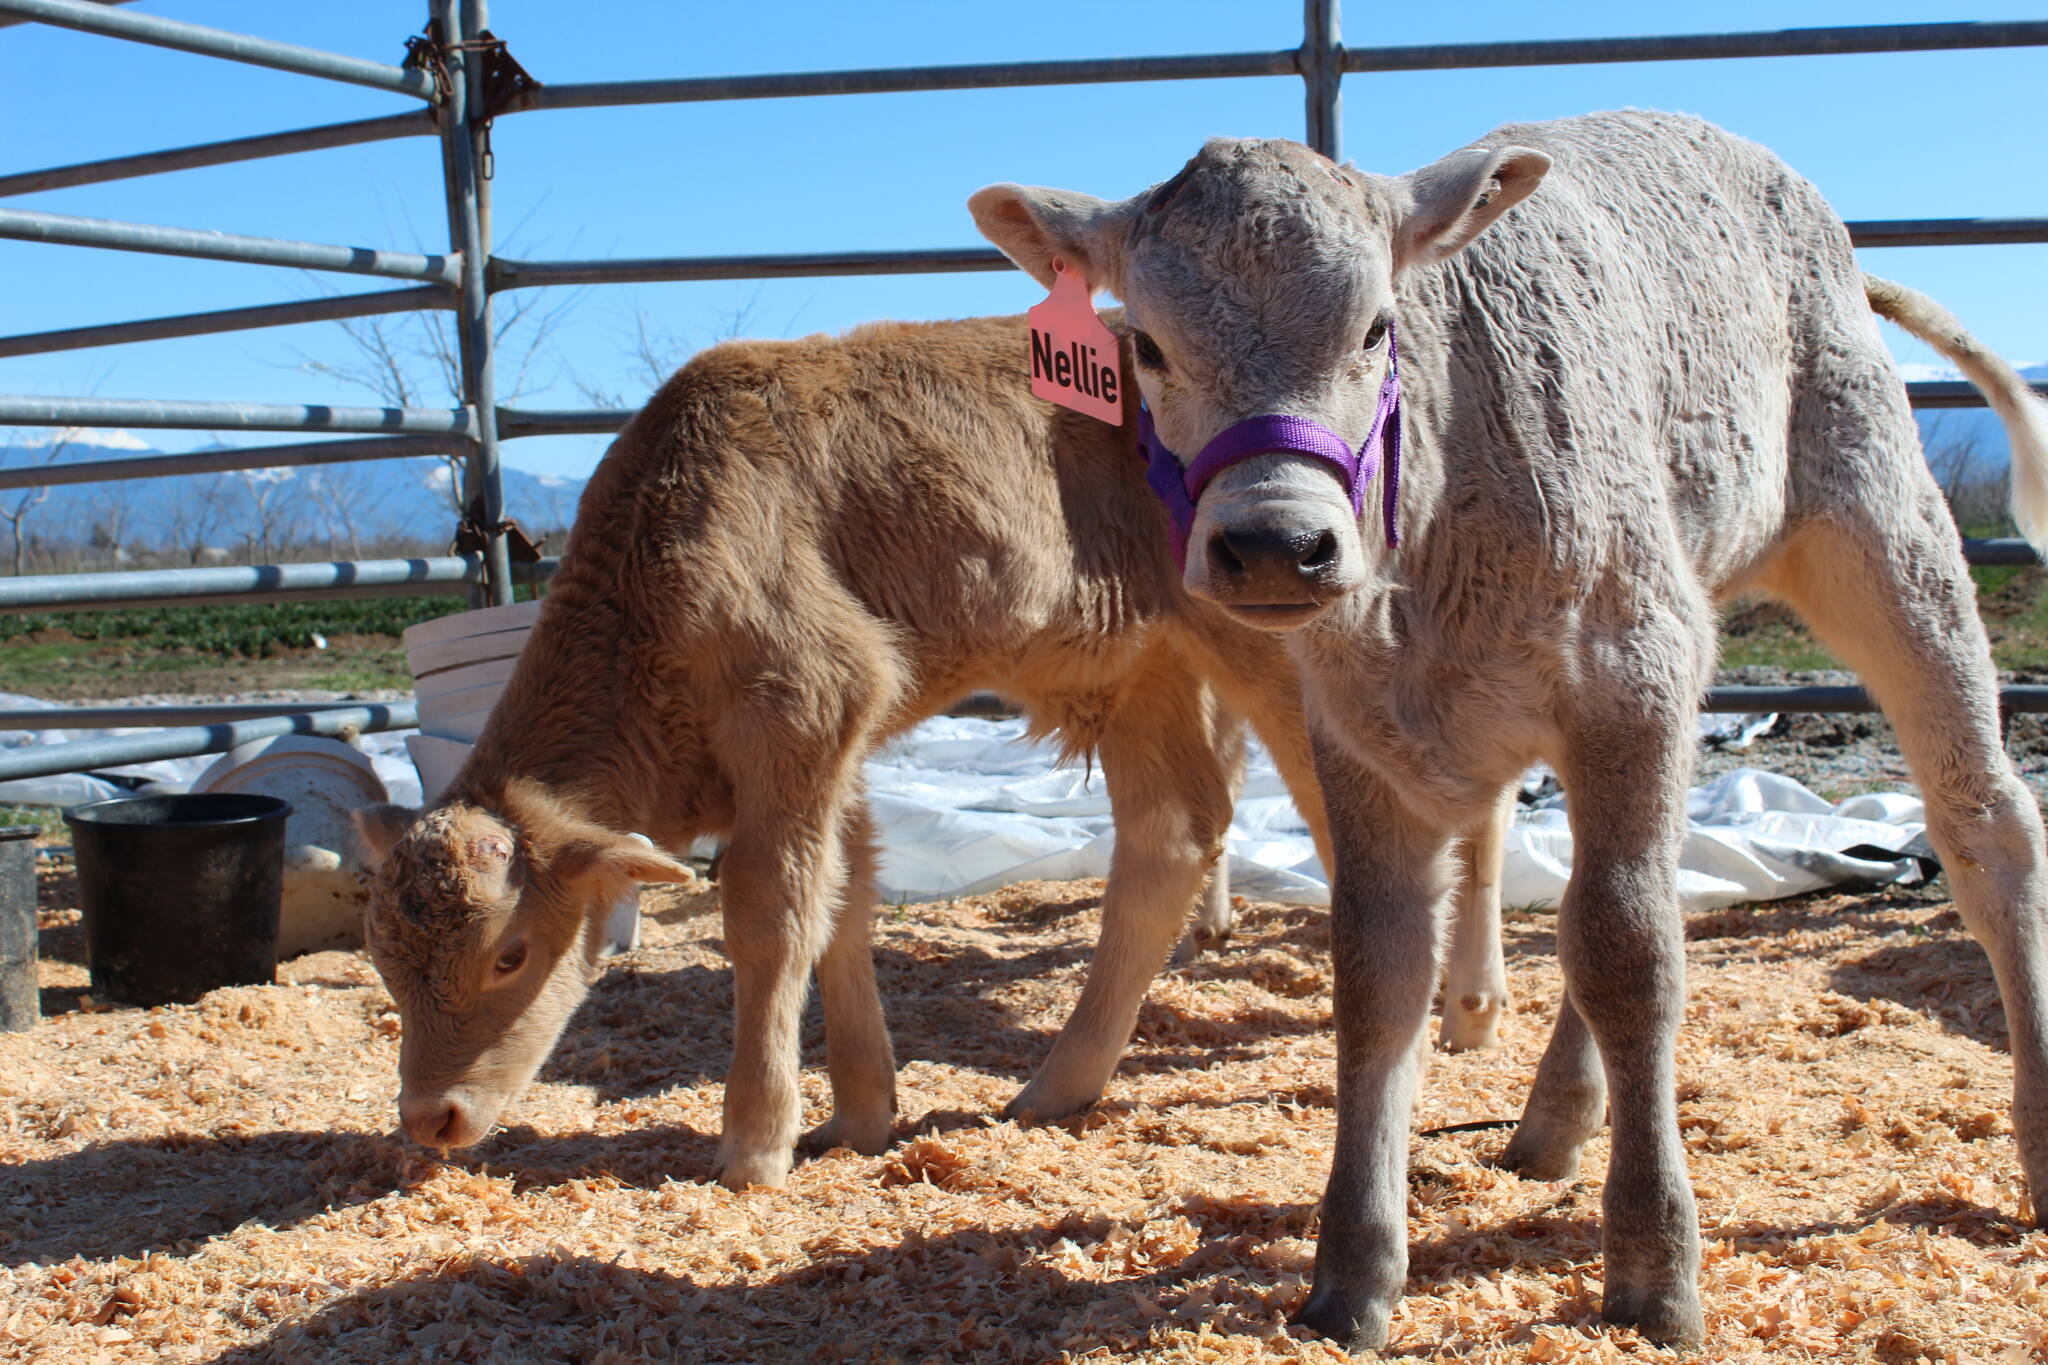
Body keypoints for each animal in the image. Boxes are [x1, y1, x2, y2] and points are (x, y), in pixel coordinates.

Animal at [352, 313, 1516, 1192]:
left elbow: (770, 913)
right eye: (382, 960)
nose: (431, 1117)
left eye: (510, 952)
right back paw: (1059, 1086)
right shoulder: (835, 746)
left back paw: (1451, 1022)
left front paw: (753, 1144)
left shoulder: (804, 703)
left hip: (1281, 651)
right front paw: (859, 1114)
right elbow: (845, 895)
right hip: (1145, 667)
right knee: (1173, 837)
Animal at [970, 109, 2048, 1349]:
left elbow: (1628, 954)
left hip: (1871, 514)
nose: (1273, 545)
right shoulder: (1354, 728)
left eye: (1376, 326)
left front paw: (1652, 1266)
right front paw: (1351, 1273)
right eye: (1144, 346)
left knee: (1980, 827)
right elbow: (1378, 970)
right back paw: (1554, 1119)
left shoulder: (1631, 669)